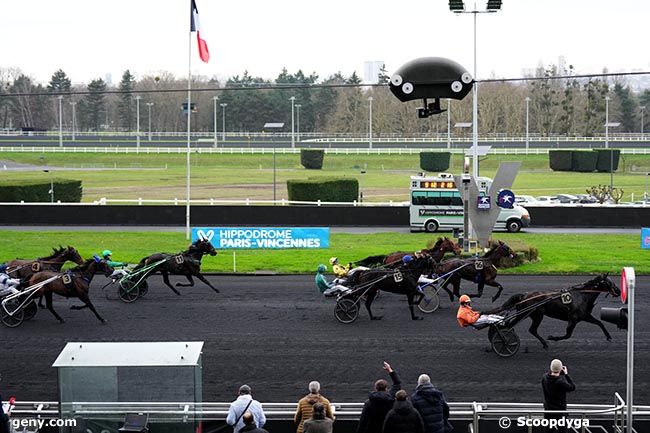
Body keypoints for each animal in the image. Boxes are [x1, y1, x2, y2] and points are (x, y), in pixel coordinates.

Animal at [486, 276, 616, 350]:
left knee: (512, 326)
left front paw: (609, 337)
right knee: (526, 329)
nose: (618, 290)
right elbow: (567, 335)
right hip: (534, 314)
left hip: (528, 314)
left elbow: (600, 323)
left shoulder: (584, 316)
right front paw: (553, 338)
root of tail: (524, 295)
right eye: (609, 283)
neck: (582, 295)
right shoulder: (573, 318)